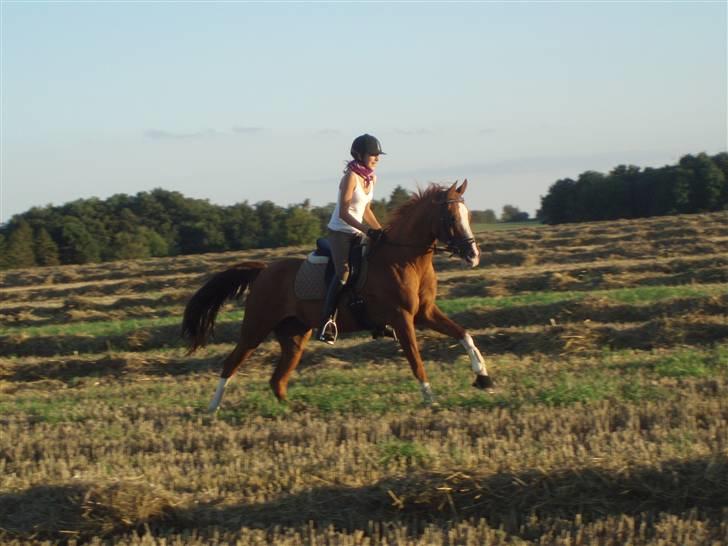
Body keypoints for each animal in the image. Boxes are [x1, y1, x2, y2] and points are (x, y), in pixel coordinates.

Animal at [182, 181, 494, 410]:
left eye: (469, 216)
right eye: (451, 217)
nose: (473, 255)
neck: (403, 259)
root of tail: (263, 271)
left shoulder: (425, 312)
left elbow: (464, 334)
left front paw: (483, 377)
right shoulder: (402, 317)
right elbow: (415, 359)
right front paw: (430, 399)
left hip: (295, 336)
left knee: (277, 380)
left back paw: (294, 411)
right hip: (256, 327)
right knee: (231, 363)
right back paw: (212, 409)